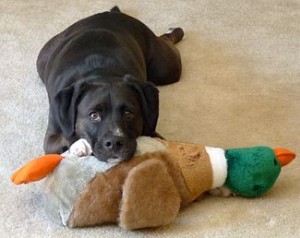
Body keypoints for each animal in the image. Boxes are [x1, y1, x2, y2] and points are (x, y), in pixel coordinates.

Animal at [37, 6, 183, 162]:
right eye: (93, 115)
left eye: (128, 113)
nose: (114, 142)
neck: (102, 75)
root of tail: (111, 13)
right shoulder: (51, 138)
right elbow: (67, 136)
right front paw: (80, 145)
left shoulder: (152, 131)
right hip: (42, 59)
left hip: (166, 69)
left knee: (166, 40)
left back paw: (175, 31)